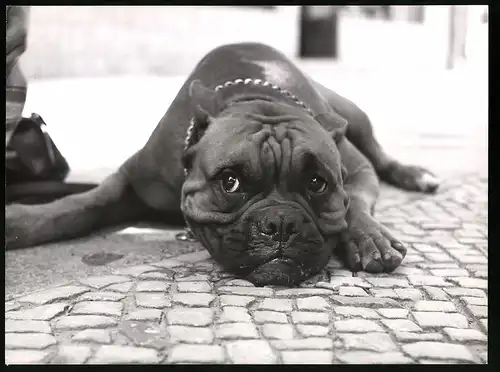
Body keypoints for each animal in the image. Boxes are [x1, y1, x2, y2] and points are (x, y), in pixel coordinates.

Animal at [5, 42, 440, 284]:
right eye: (229, 182)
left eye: (318, 184)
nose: (280, 222)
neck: (258, 100)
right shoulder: (134, 180)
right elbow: (81, 205)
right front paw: (23, 222)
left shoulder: (358, 171)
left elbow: (356, 206)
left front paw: (370, 237)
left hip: (353, 116)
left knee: (381, 153)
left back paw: (415, 174)